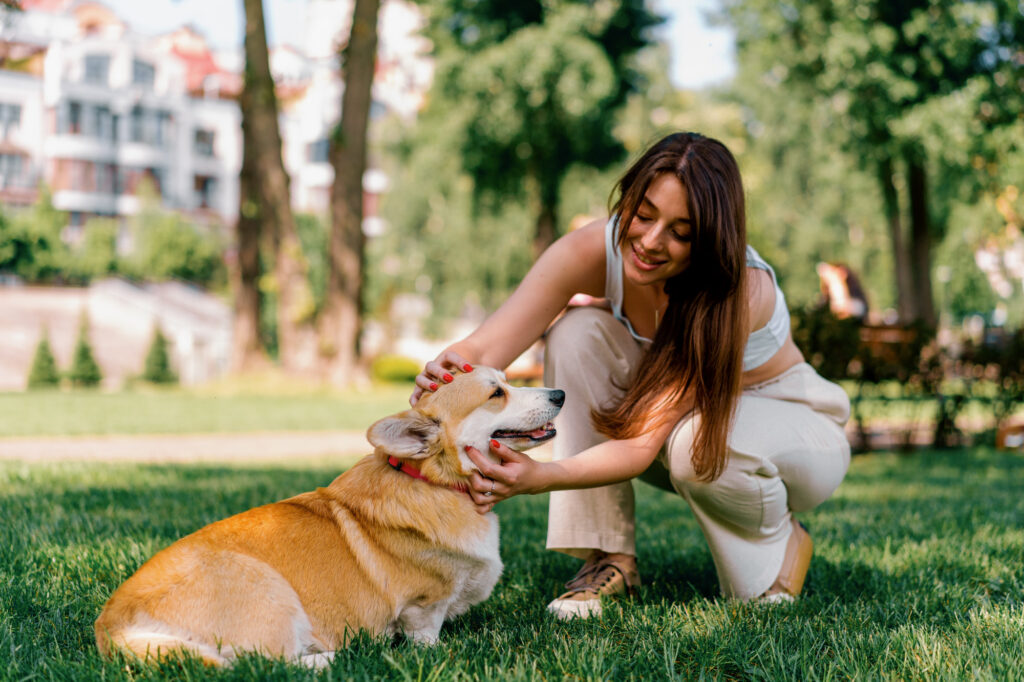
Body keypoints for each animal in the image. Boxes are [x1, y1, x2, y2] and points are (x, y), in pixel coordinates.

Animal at [93, 366, 565, 663]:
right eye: (496, 393)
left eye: (506, 380)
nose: (560, 393)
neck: (436, 482)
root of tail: (112, 625)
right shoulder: (423, 607)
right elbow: (426, 638)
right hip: (268, 590)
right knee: (263, 667)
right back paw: (337, 659)